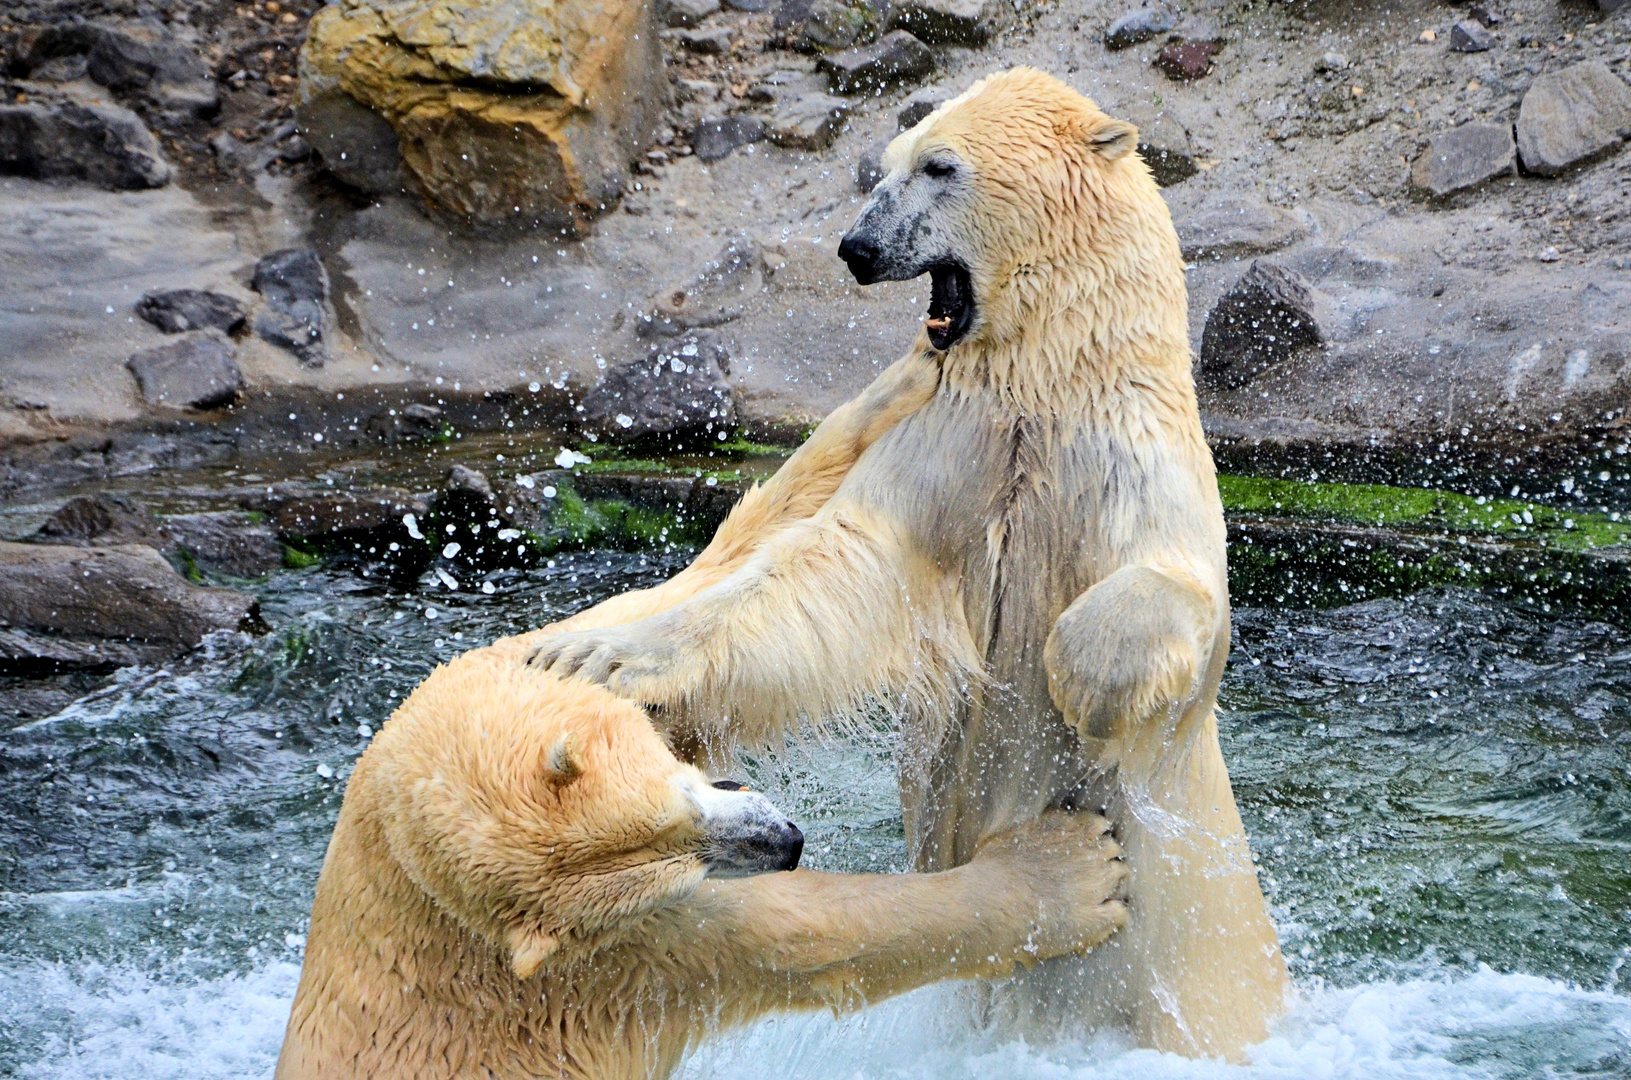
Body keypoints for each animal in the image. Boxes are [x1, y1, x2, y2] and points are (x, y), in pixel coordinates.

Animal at [531, 69, 1285, 1063]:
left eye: (940, 166)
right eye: (882, 165)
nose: (856, 247)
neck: (1048, 383)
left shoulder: (1127, 459)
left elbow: (1174, 592)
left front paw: (1079, 688)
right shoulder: (954, 443)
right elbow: (837, 564)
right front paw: (594, 654)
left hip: (1193, 976)